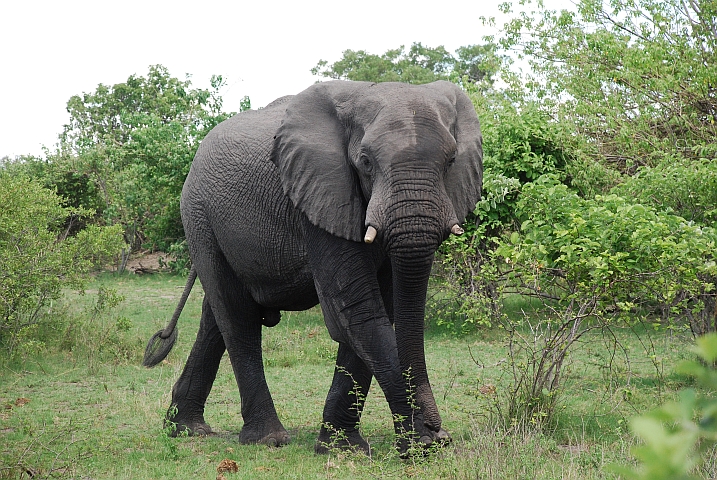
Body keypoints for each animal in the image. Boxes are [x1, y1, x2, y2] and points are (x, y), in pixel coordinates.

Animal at [143, 80, 482, 456]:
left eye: (451, 161)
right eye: (365, 162)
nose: (440, 430)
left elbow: (381, 307)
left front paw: (343, 448)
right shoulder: (319, 193)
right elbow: (356, 311)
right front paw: (420, 443)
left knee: (215, 316)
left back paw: (186, 429)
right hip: (199, 217)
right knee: (236, 314)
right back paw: (267, 439)